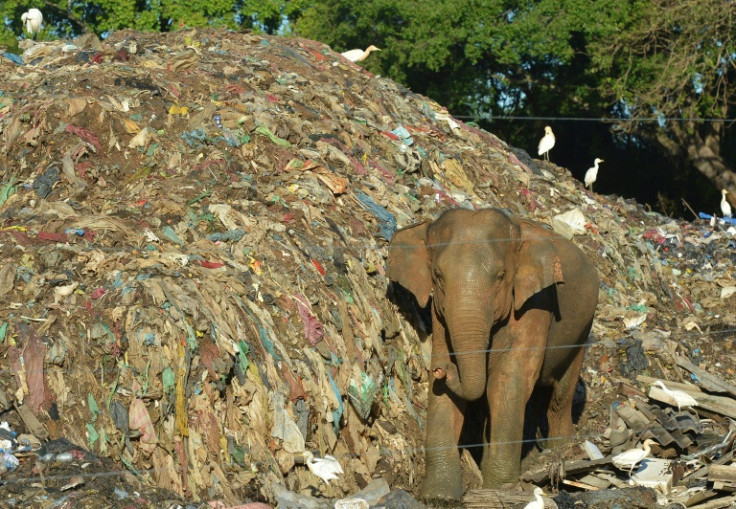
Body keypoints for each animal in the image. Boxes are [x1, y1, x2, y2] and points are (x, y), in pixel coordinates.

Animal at [386, 207, 600, 500]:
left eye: (500, 276)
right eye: (438, 276)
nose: (442, 370)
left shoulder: (537, 302)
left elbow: (510, 379)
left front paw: (501, 490)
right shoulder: (441, 315)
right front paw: (439, 496)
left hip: (584, 328)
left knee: (561, 392)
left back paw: (563, 451)